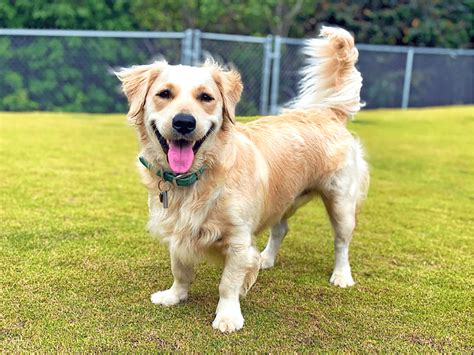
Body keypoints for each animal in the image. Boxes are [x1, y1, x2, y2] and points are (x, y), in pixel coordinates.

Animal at [116, 27, 368, 334]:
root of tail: (328, 112)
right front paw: (174, 295)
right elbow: (180, 269)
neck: (198, 178)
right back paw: (266, 258)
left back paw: (341, 275)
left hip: (340, 202)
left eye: (206, 97)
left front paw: (227, 316)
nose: (184, 122)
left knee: (341, 241)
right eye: (164, 94)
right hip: (284, 198)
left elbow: (228, 283)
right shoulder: (178, 231)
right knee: (280, 229)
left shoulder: (237, 240)